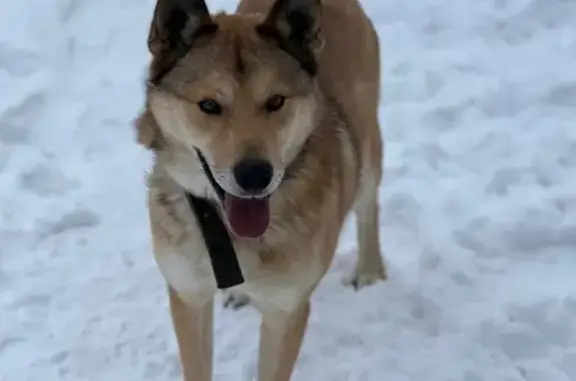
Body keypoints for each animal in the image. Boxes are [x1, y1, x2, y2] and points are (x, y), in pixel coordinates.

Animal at [136, 0, 388, 378]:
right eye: (209, 105)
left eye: (275, 101)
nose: (255, 175)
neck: (229, 237)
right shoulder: (188, 295)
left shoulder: (286, 312)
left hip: (367, 148)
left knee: (368, 204)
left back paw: (369, 271)